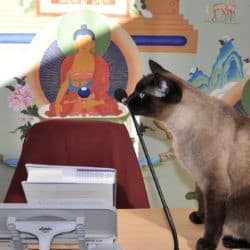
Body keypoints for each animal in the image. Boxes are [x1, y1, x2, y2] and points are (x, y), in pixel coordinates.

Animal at [128, 60, 250, 250]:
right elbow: (202, 202)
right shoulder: (200, 180)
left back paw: (231, 240)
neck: (179, 133)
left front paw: (207, 243)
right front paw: (199, 217)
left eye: (140, 95)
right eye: (135, 91)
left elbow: (214, 220)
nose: (126, 99)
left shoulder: (215, 182)